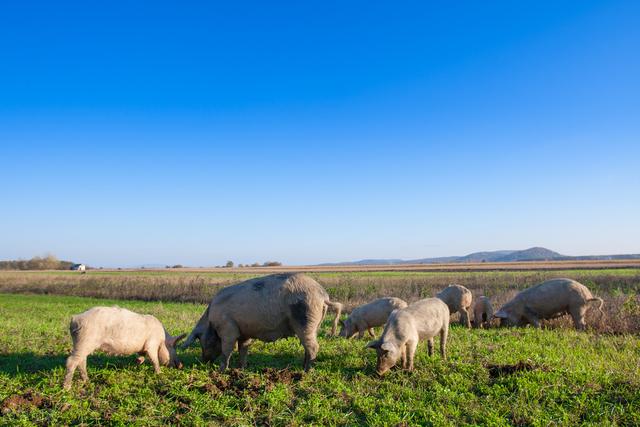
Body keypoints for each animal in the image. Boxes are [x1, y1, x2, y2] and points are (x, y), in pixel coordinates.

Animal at [182, 274, 342, 372]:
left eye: (202, 340)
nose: (204, 361)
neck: (211, 320)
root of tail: (323, 296)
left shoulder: (228, 329)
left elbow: (227, 350)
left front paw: (222, 370)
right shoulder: (244, 332)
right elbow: (243, 349)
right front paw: (241, 369)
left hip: (305, 321)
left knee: (314, 347)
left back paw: (306, 371)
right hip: (314, 325)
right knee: (308, 348)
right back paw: (303, 367)